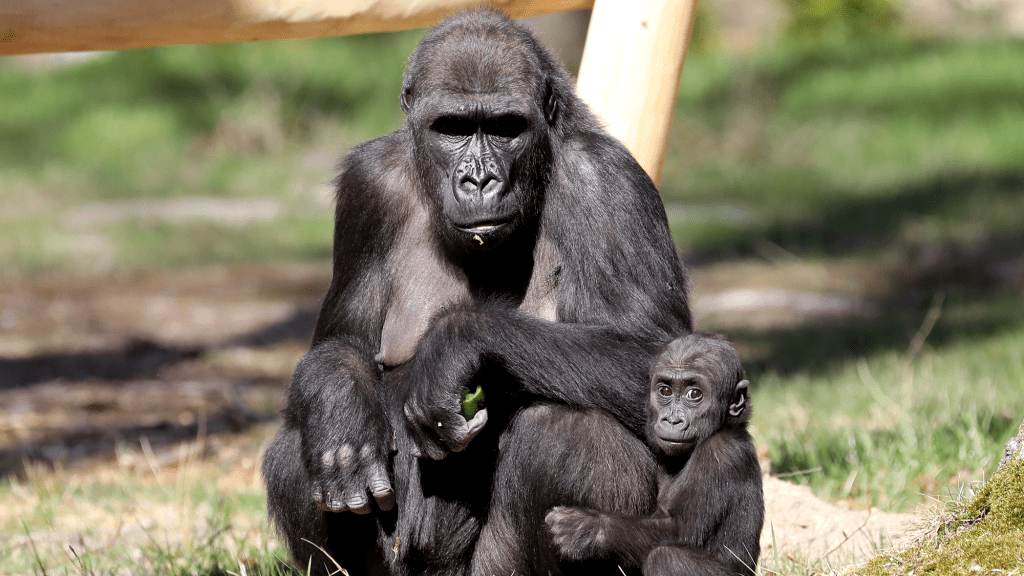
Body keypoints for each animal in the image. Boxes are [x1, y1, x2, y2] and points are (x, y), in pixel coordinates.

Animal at [262, 8, 696, 573]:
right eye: (452, 128)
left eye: (506, 127)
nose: (479, 179)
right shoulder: (369, 186)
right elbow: (340, 345)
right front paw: (340, 411)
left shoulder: (606, 181)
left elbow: (660, 357)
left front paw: (456, 342)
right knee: (295, 450)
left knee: (573, 432)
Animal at [548, 332, 765, 573]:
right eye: (665, 391)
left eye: (694, 394)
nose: (672, 420)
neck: (725, 426)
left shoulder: (721, 454)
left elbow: (680, 530)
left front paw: (587, 529)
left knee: (666, 557)